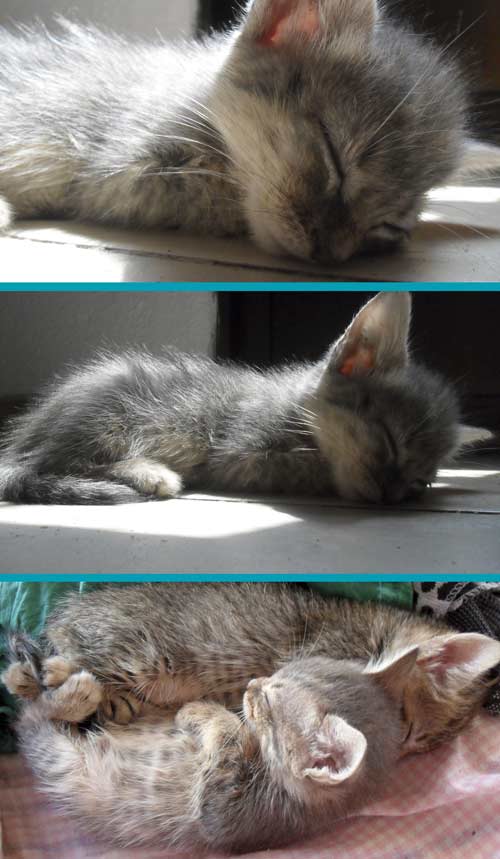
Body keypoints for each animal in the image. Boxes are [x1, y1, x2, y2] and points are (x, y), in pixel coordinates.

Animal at [0, 292, 488, 506]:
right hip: (116, 420)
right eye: (388, 441)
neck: (299, 412)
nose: (391, 495)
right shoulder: (241, 452)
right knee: (56, 464)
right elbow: (307, 469)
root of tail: (29, 431)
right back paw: (149, 473)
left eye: (420, 480)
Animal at [5, 583, 500, 758]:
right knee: (36, 676)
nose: (395, 754)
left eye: (415, 745)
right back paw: (59, 677)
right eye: (409, 729)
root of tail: (62, 616)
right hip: (137, 656)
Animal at [9, 655, 407, 852]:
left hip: (55, 756)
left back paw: (74, 690)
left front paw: (198, 710)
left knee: (31, 716)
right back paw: (61, 672)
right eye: (280, 671)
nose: (252, 683)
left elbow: (228, 732)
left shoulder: (227, 816)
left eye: (267, 700)